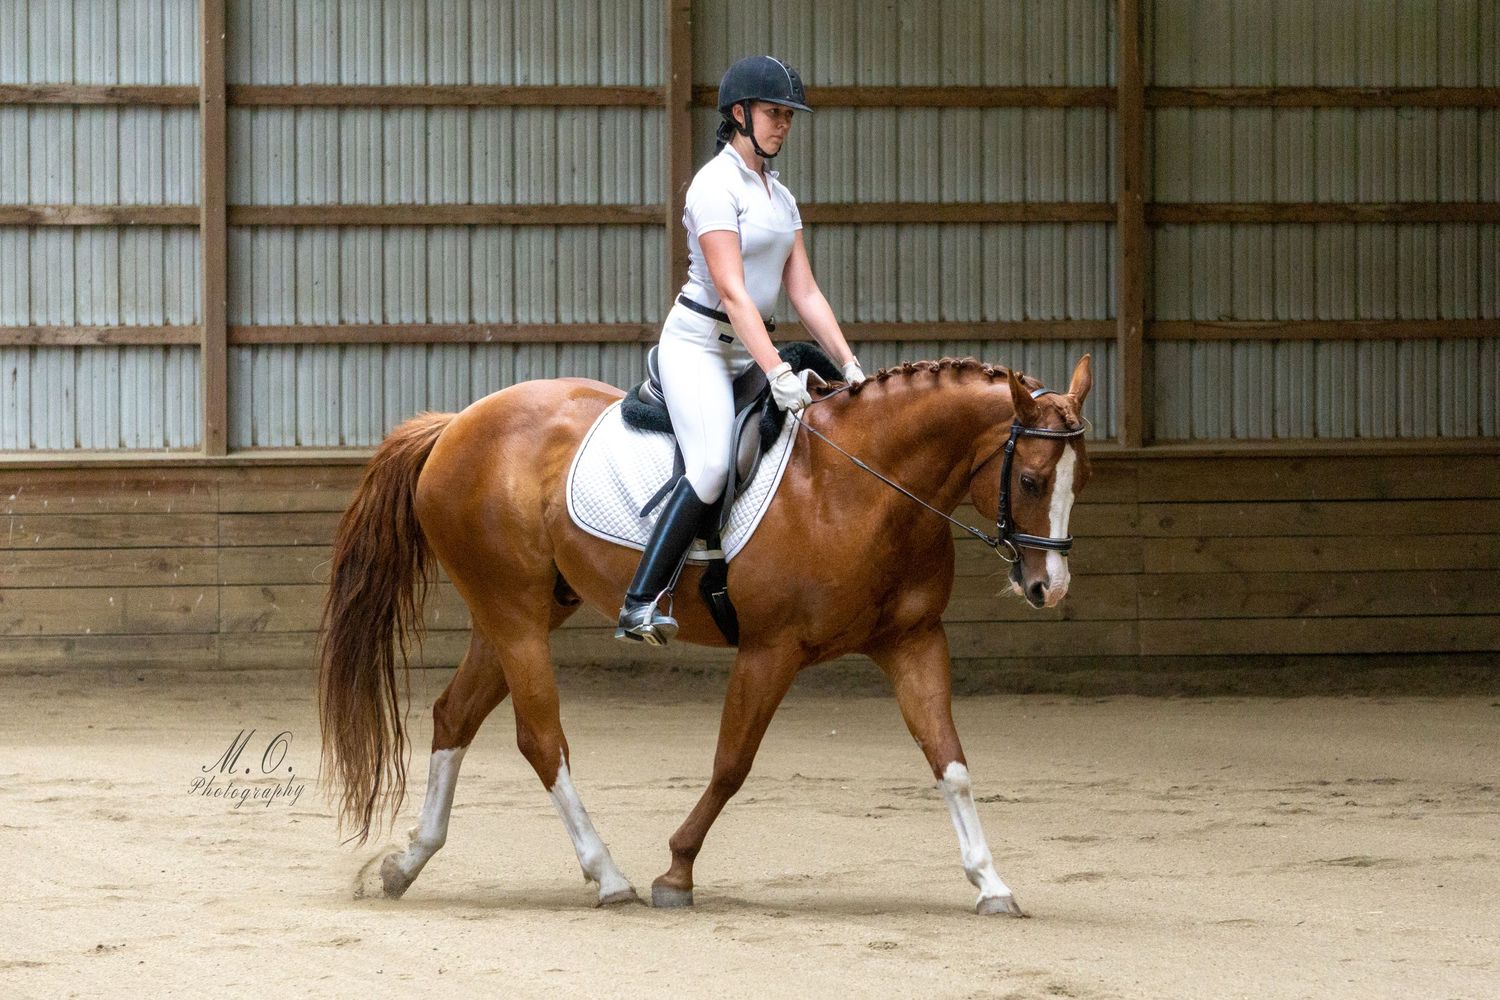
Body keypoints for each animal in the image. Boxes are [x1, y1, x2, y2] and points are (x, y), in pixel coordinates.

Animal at [318, 352, 1093, 916]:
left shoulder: (914, 642)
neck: (862, 485)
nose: (1049, 588)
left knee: (455, 716)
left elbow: (950, 762)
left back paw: (406, 862)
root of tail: (456, 424)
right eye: (1030, 479)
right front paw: (677, 872)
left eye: (1078, 481)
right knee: (541, 741)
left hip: (519, 614)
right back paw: (609, 876)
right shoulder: (771, 649)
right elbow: (731, 765)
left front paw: (991, 883)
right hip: (514, 619)